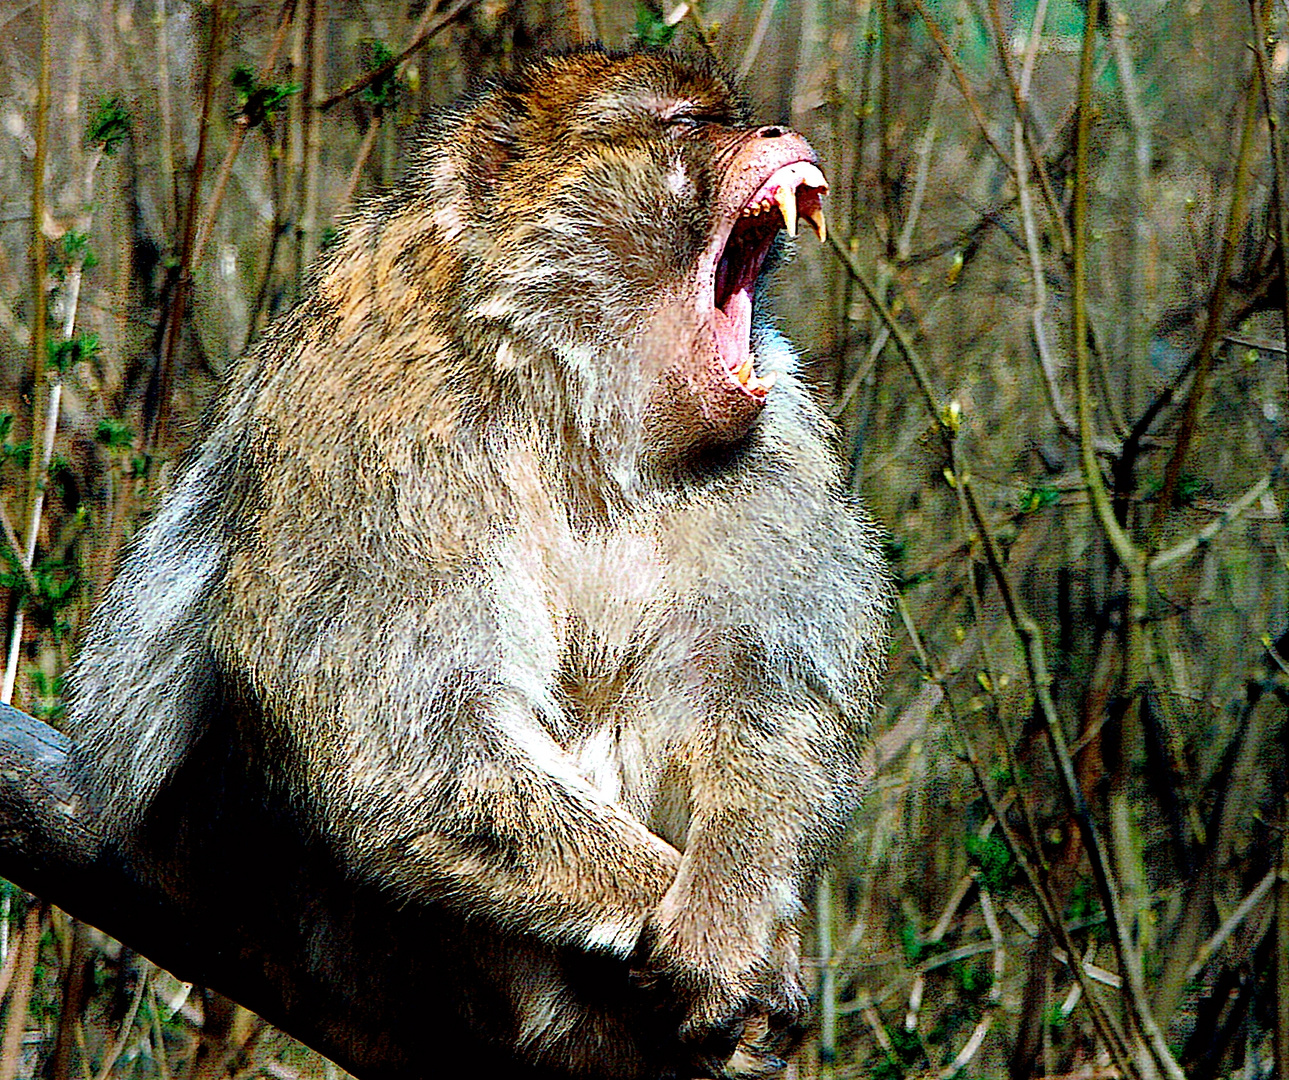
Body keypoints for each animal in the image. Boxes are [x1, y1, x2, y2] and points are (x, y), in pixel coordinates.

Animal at [65, 48, 891, 1080]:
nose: (775, 132)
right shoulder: (379, 435)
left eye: (732, 116)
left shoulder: (777, 445)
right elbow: (405, 742)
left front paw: (730, 914)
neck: (563, 395)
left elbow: (765, 690)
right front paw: (711, 939)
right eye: (687, 124)